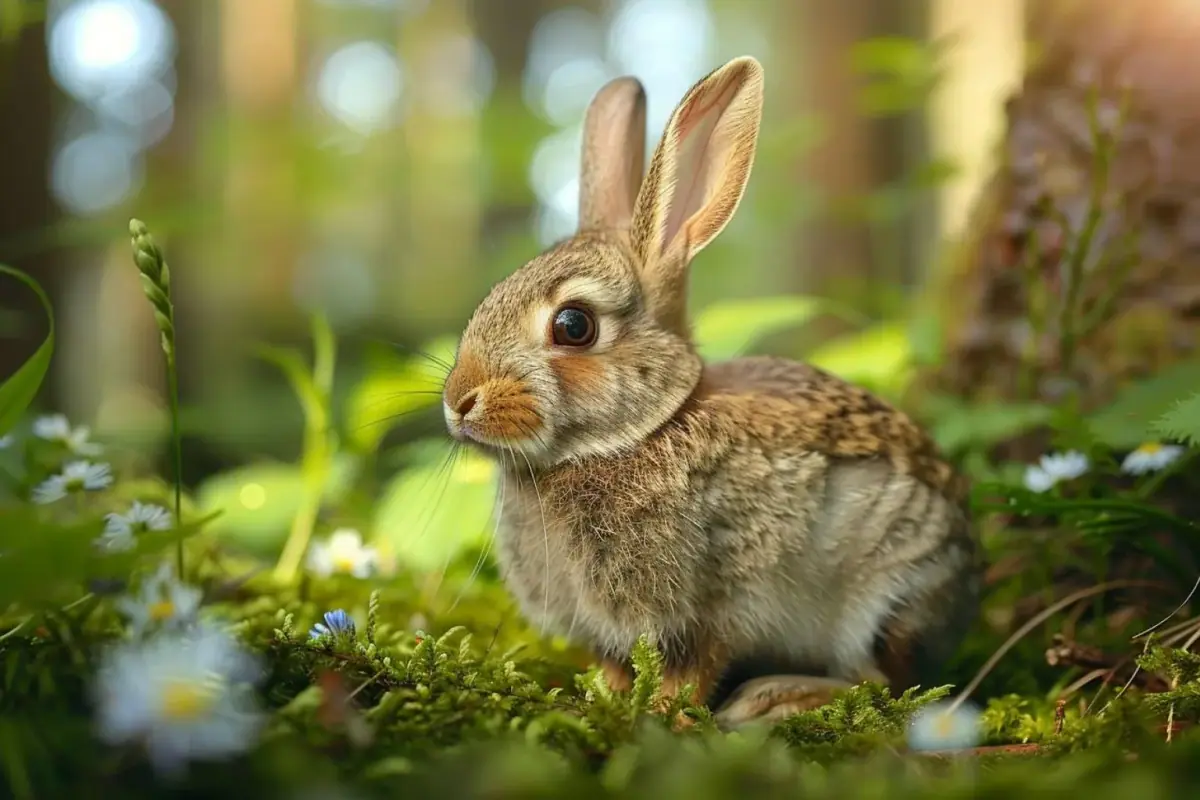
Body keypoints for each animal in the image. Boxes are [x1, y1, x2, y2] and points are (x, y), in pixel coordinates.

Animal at [440, 55, 983, 723]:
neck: (639, 431)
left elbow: (697, 667)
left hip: (892, 592)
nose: (458, 402)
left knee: (884, 683)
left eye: (573, 325)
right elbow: (616, 665)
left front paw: (663, 716)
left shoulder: (712, 603)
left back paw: (775, 698)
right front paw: (604, 698)